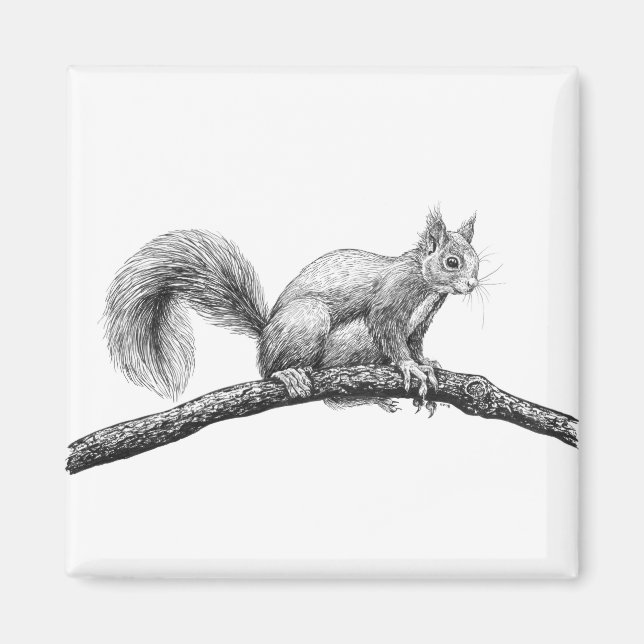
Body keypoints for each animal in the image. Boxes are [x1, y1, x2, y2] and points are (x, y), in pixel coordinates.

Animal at [104, 207, 479, 413]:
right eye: (452, 262)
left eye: (477, 260)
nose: (473, 284)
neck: (425, 283)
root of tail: (266, 334)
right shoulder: (389, 301)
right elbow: (388, 332)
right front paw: (410, 367)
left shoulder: (419, 323)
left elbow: (414, 343)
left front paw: (426, 364)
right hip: (308, 319)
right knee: (269, 369)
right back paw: (288, 373)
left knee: (334, 401)